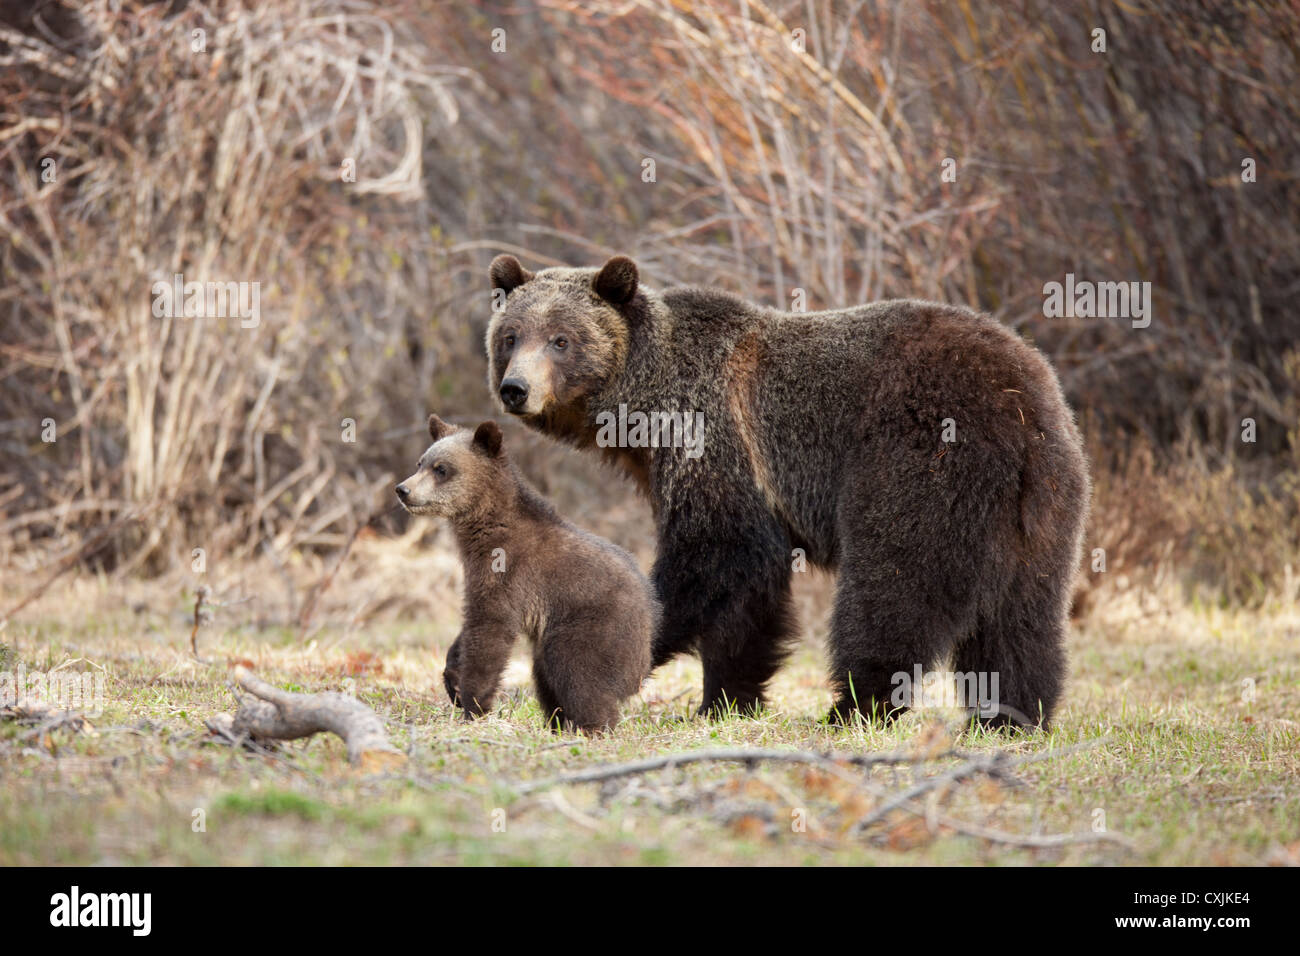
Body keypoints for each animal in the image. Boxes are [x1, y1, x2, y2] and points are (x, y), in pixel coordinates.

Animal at [395, 413, 657, 733]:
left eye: (441, 468)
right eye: (421, 462)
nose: (403, 489)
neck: (483, 529)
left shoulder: (509, 574)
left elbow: (490, 633)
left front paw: (474, 705)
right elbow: (470, 627)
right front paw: (452, 679)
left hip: (593, 627)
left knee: (577, 673)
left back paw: (591, 726)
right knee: (546, 677)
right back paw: (559, 722)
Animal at [483, 253, 1091, 729]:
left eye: (561, 340)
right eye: (510, 337)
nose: (515, 388)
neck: (641, 410)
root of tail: (1021, 403)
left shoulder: (713, 438)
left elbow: (715, 557)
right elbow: (748, 604)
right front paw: (725, 700)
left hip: (919, 462)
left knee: (892, 589)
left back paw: (854, 708)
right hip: (1044, 503)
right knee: (1021, 619)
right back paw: (1010, 717)